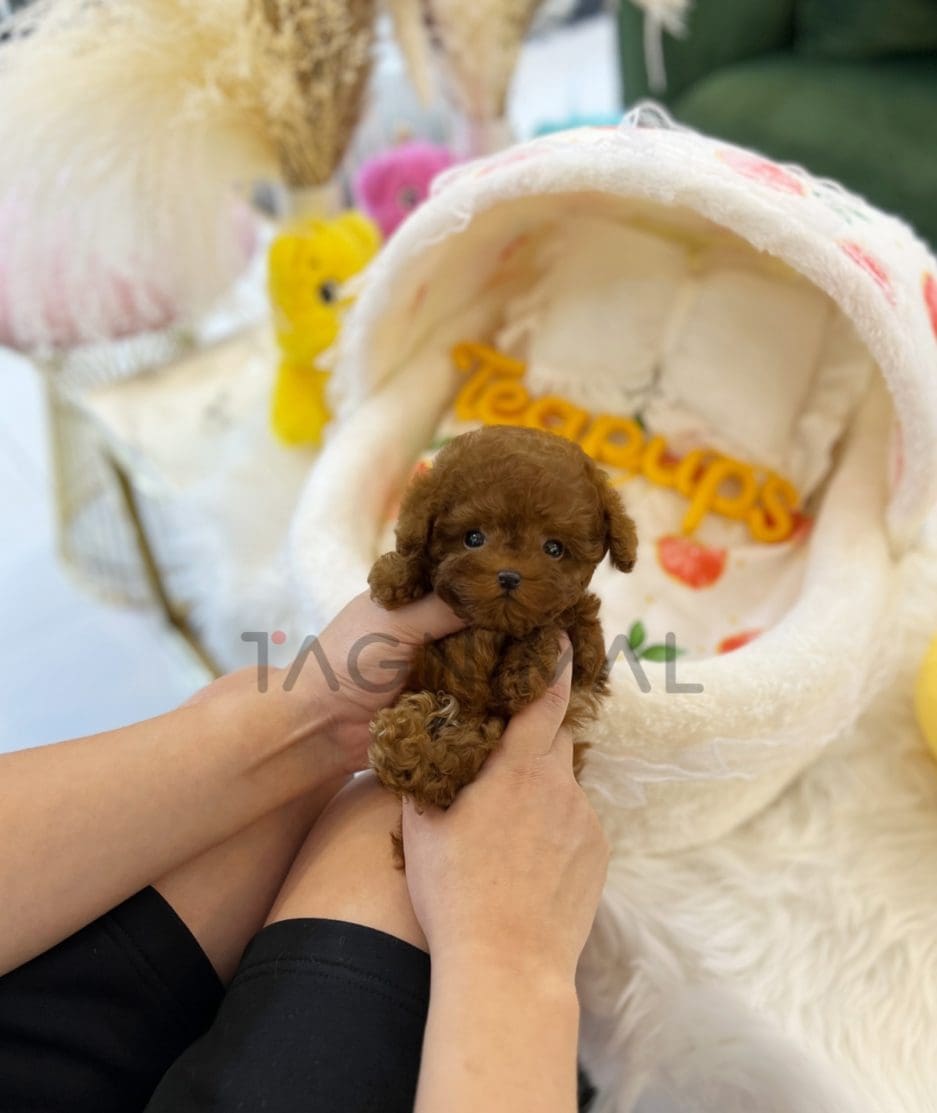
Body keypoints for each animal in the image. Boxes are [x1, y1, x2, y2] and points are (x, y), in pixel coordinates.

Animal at [365, 425, 636, 828]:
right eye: (473, 538)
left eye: (554, 548)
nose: (509, 576)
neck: (494, 627)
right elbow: (415, 554)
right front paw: (395, 575)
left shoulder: (583, 661)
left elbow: (561, 626)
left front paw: (522, 673)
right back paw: (407, 743)